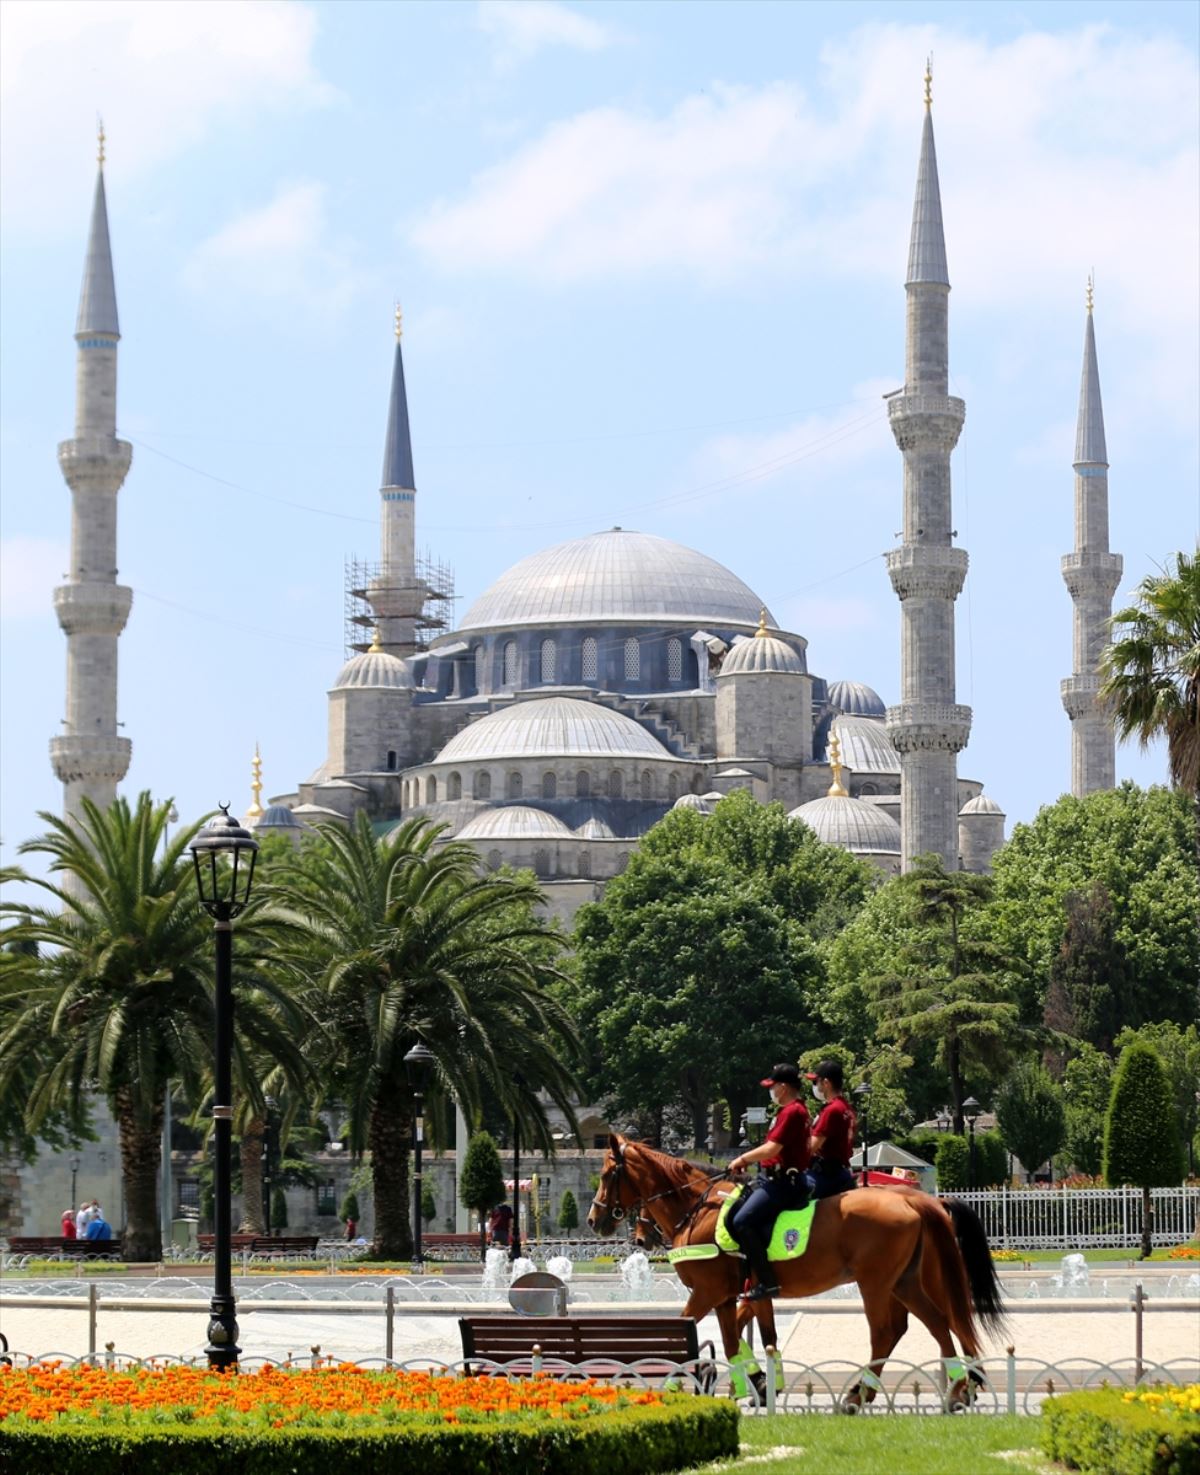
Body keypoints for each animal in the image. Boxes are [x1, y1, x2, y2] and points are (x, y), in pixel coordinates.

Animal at [589, 1138, 1008, 1404]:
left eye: (608, 1174)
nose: (594, 1220)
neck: (700, 1209)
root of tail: (917, 1201)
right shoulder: (734, 1295)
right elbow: (743, 1340)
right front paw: (757, 1385)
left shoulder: (708, 1292)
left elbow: (692, 1331)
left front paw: (686, 1382)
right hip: (904, 1282)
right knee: (940, 1322)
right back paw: (961, 1388)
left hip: (875, 1283)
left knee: (890, 1331)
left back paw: (863, 1392)